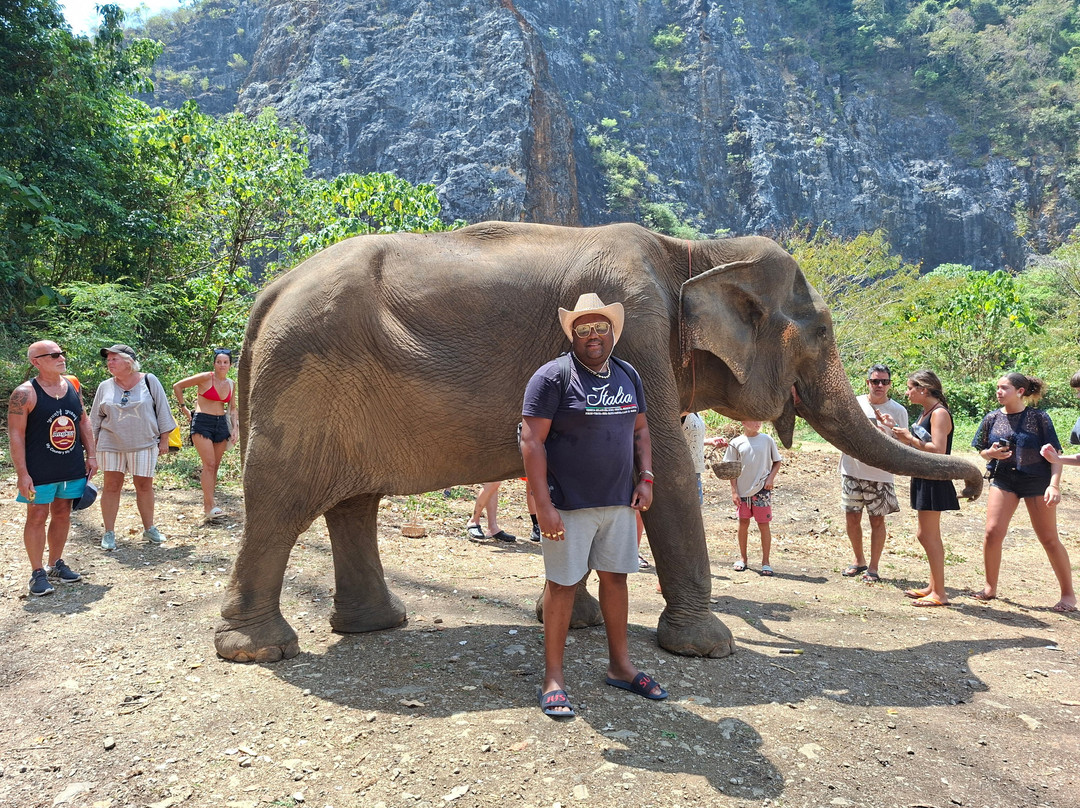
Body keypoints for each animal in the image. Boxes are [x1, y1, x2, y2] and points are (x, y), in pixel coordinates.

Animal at [216, 221, 982, 662]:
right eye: (820, 332)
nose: (975, 481)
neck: (694, 253)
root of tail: (269, 292)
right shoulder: (636, 326)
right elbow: (663, 470)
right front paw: (707, 648)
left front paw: (574, 622)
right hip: (303, 384)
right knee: (281, 503)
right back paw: (257, 650)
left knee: (352, 505)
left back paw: (375, 626)